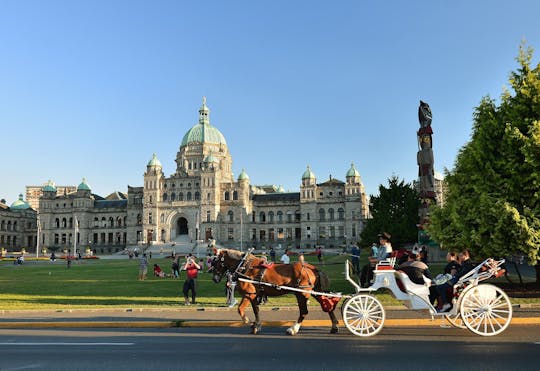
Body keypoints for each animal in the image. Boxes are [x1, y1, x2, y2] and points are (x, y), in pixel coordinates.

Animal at [210, 250, 338, 338]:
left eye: (215, 262)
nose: (214, 279)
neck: (243, 265)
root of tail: (312, 267)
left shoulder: (251, 294)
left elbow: (252, 310)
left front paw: (252, 324)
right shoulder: (250, 294)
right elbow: (244, 309)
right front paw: (251, 323)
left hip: (301, 293)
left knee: (304, 312)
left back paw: (293, 329)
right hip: (314, 291)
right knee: (328, 306)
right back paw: (334, 326)